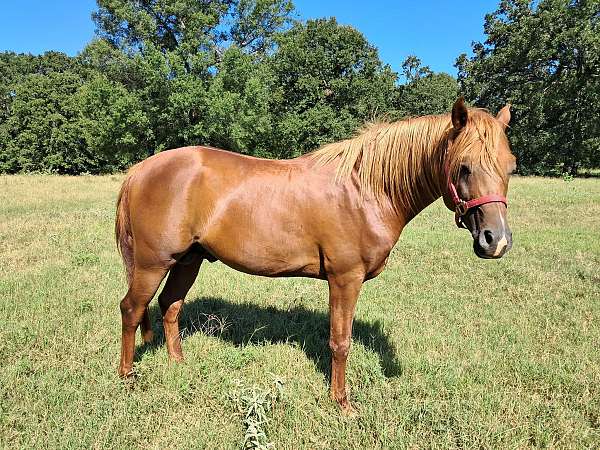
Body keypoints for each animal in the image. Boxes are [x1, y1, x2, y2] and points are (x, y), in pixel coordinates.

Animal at [116, 99, 516, 414]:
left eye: (510, 167)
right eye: (464, 166)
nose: (495, 241)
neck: (365, 190)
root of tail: (140, 170)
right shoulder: (345, 279)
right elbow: (340, 343)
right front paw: (342, 403)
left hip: (188, 259)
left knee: (170, 305)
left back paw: (178, 364)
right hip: (153, 264)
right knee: (132, 309)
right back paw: (128, 377)